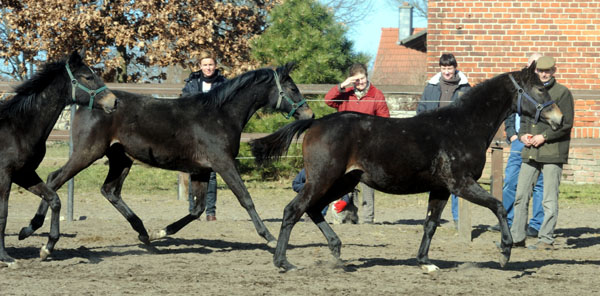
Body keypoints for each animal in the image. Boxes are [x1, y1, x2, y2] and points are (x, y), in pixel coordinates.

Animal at [0, 51, 116, 264]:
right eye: (88, 77)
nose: (114, 101)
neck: (18, 129)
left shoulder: (24, 173)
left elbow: (54, 199)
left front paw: (47, 247)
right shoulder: (5, 175)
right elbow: (3, 214)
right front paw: (6, 257)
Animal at [17, 62, 314, 247]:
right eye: (292, 88)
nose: (309, 114)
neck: (219, 115)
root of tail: (88, 104)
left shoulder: (201, 169)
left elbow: (196, 209)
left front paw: (162, 231)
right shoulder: (223, 163)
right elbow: (246, 198)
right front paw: (269, 237)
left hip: (121, 159)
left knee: (109, 191)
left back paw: (144, 233)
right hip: (88, 153)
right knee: (55, 179)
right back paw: (31, 230)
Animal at [247, 64, 564, 272]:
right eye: (539, 88)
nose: (559, 118)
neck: (462, 126)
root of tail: (315, 123)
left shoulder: (441, 189)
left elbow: (430, 223)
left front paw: (425, 262)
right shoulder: (461, 184)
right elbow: (498, 206)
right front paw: (505, 253)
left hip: (342, 182)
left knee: (312, 209)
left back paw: (337, 252)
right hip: (323, 178)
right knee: (294, 210)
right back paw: (283, 262)